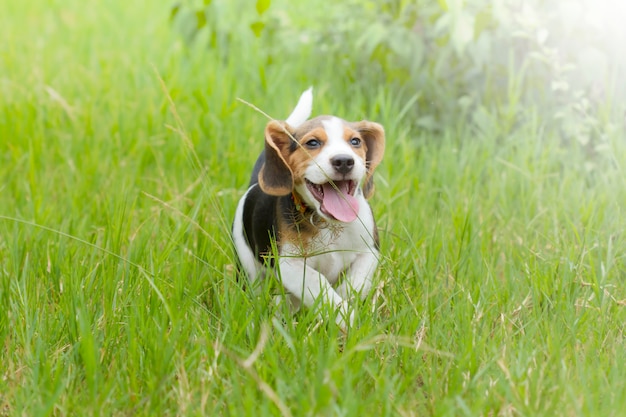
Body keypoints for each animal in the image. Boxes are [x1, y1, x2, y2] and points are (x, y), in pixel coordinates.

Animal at [232, 88, 382, 328]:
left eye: (355, 141)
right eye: (312, 143)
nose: (344, 161)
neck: (329, 224)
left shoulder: (369, 252)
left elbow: (355, 284)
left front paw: (344, 306)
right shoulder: (289, 265)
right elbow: (317, 282)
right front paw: (344, 315)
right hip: (248, 265)